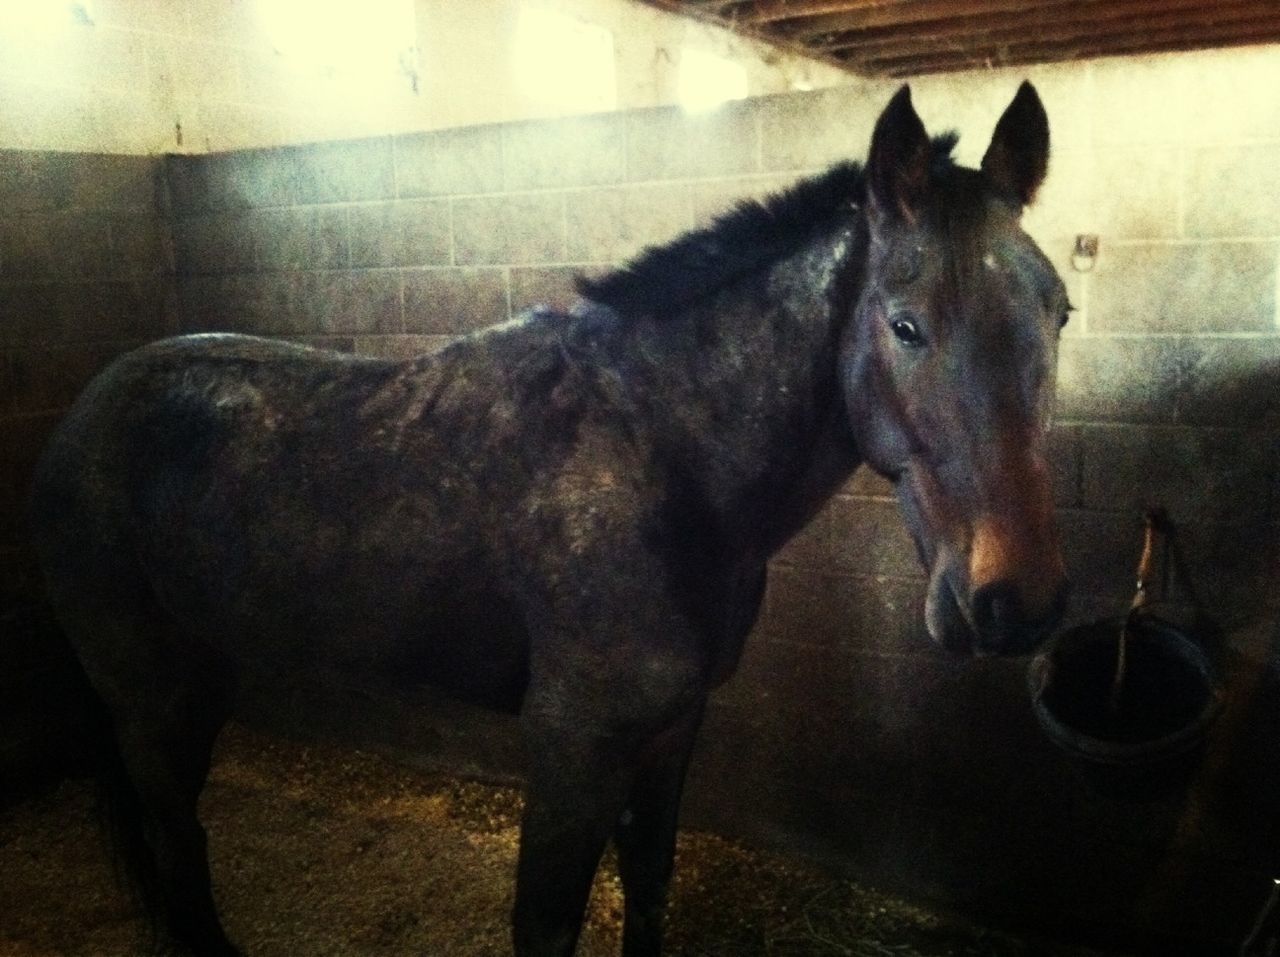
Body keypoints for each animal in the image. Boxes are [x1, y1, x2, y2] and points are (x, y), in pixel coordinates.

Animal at [30, 83, 1070, 957]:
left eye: (1058, 312)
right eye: (905, 324)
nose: (1016, 602)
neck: (658, 453)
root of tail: (81, 417)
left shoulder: (671, 727)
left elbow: (649, 884)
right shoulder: (573, 744)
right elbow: (545, 921)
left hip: (202, 680)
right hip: (147, 694)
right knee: (174, 835)